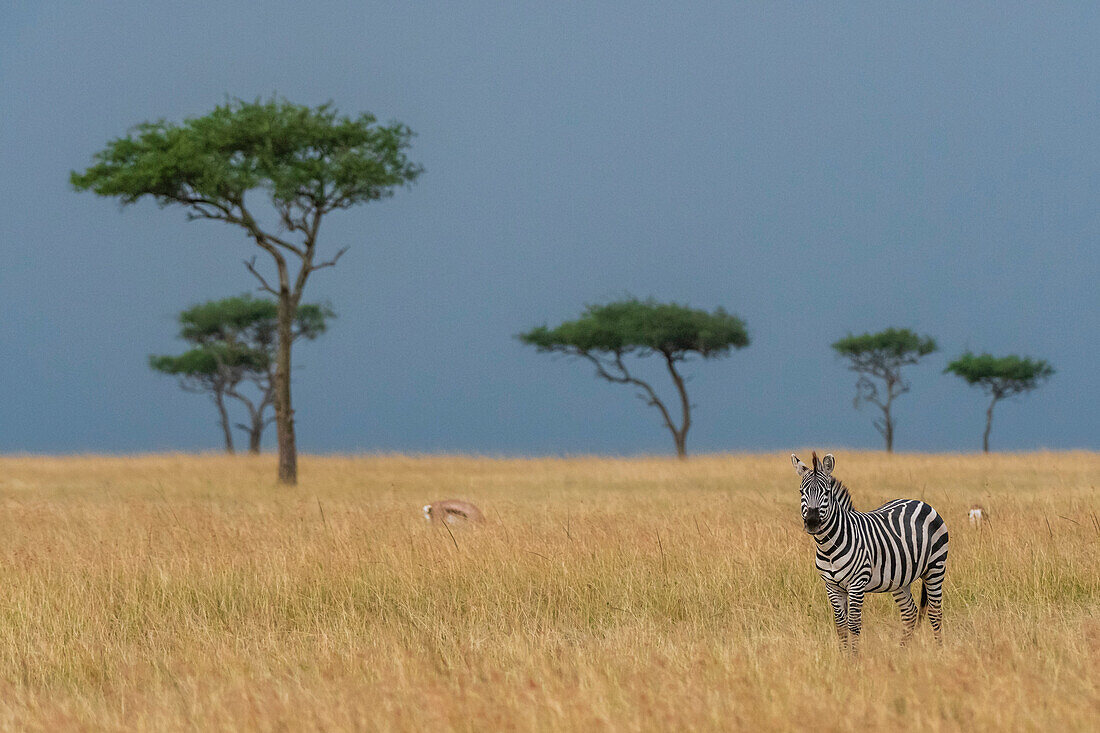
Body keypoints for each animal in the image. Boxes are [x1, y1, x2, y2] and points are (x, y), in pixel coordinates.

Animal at [792, 451, 946, 651]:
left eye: (826, 492)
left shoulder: (857, 584)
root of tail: (920, 502)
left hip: (936, 568)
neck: (828, 548)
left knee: (935, 612)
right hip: (899, 579)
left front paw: (854, 657)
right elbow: (840, 626)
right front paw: (843, 655)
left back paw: (940, 651)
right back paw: (901, 652)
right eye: (801, 492)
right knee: (910, 613)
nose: (812, 522)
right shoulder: (832, 586)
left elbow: (853, 625)